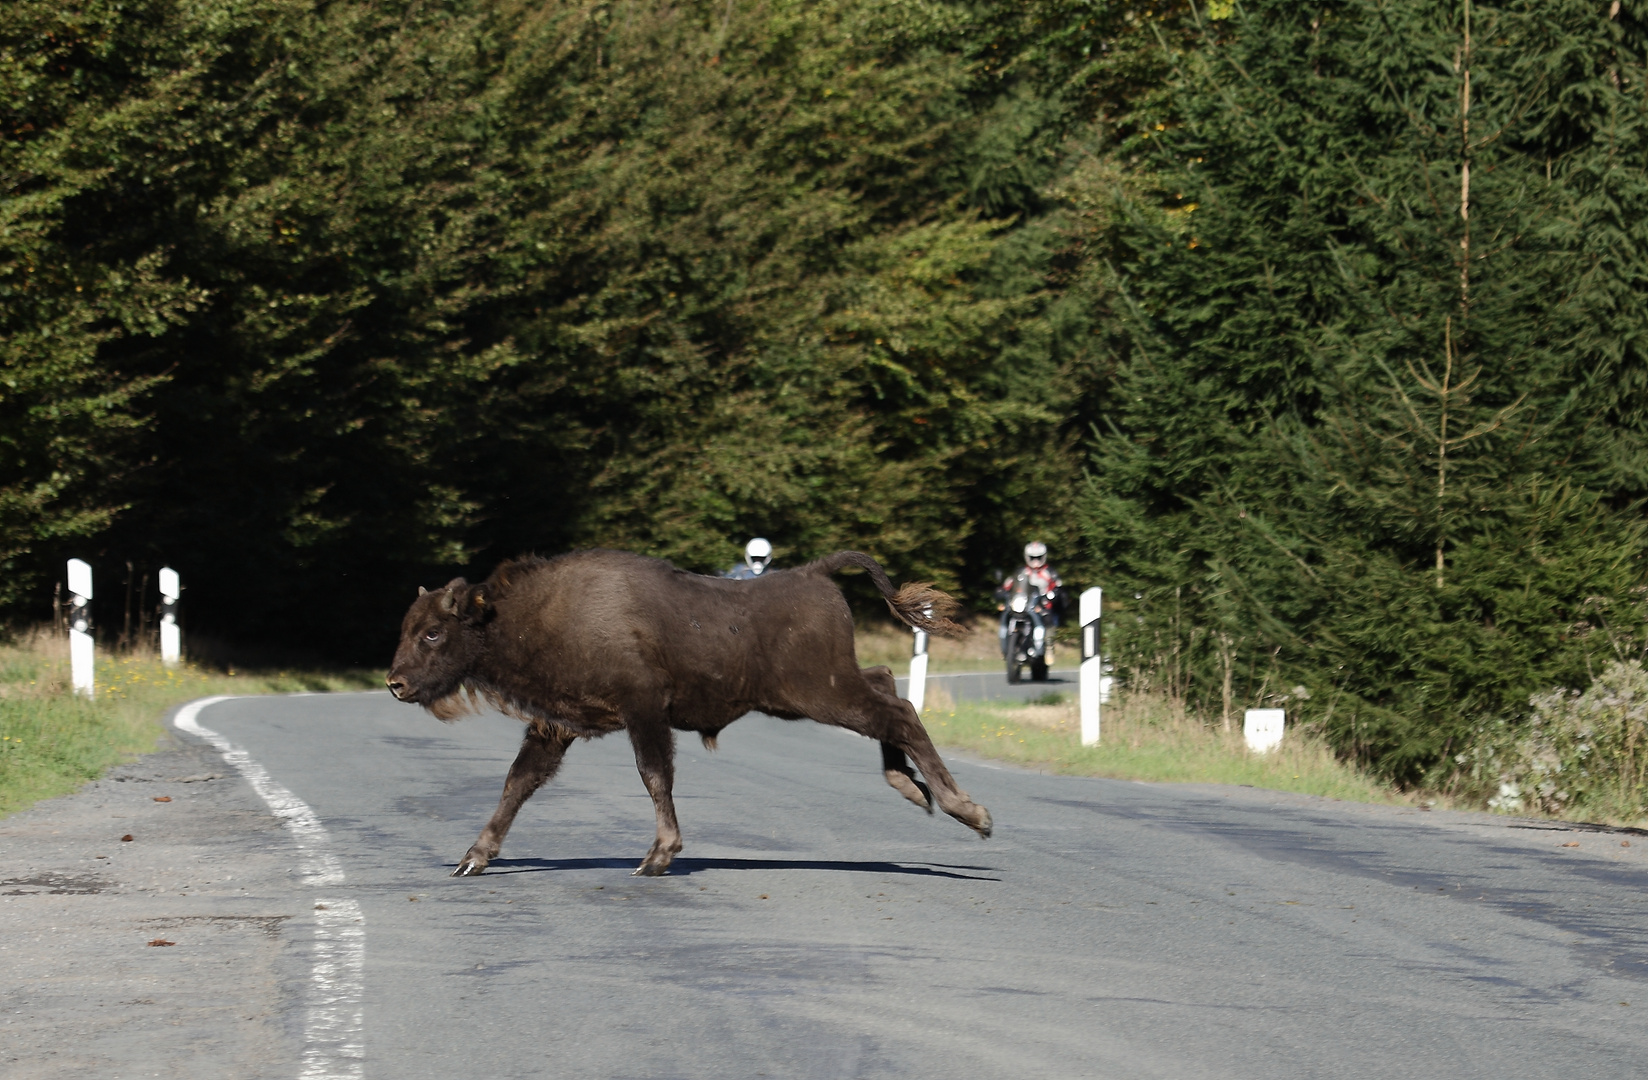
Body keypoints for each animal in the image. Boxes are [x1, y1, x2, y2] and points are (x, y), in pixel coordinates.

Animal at [388, 550, 988, 877]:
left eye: (433, 632)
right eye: (409, 627)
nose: (395, 683)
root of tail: (815, 574)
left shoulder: (644, 712)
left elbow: (655, 777)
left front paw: (657, 856)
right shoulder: (556, 726)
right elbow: (518, 782)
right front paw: (472, 859)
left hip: (821, 694)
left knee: (899, 713)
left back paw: (969, 811)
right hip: (814, 694)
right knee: (890, 689)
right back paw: (917, 790)